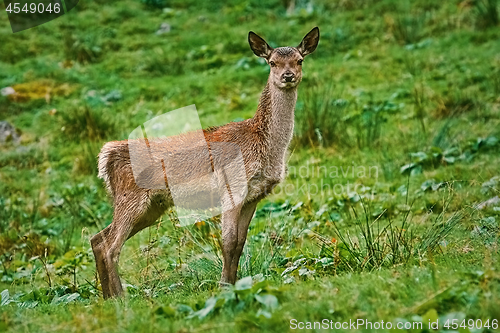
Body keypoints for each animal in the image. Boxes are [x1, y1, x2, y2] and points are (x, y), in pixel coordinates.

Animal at [91, 27, 320, 296]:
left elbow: (240, 243)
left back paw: (108, 298)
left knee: (98, 238)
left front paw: (233, 283)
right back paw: (120, 297)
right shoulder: (232, 187)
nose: (288, 76)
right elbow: (228, 242)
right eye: (272, 62)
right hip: (131, 199)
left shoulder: (254, 196)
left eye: (300, 60)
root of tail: (105, 157)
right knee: (111, 246)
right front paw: (224, 287)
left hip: (152, 207)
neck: (265, 148)